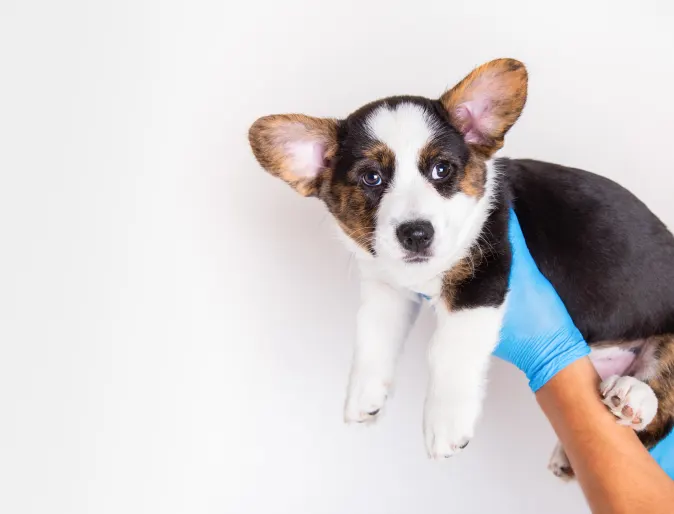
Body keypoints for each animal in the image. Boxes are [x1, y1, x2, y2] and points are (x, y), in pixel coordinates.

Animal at [245, 59, 672, 476]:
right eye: (371, 177)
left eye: (441, 170)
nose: (416, 234)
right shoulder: (387, 289)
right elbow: (371, 338)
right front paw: (364, 396)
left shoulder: (480, 277)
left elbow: (447, 351)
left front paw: (446, 424)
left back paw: (634, 398)